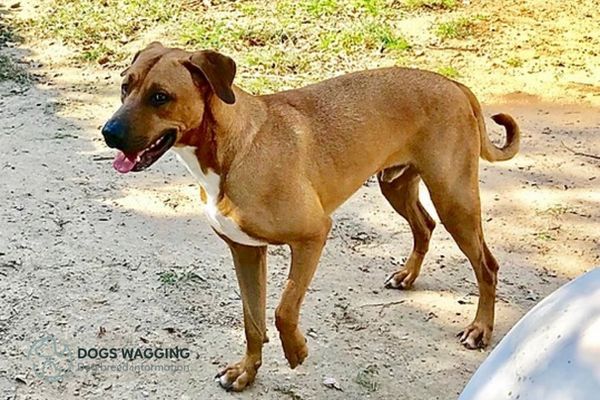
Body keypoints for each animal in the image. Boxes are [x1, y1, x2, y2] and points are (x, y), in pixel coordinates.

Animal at [101, 43, 516, 390]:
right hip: (396, 186)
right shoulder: (245, 251)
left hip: (454, 200)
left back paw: (480, 328)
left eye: (160, 97)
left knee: (487, 265)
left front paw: (296, 351)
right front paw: (246, 371)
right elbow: (253, 321)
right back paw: (408, 275)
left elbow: (283, 310)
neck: (233, 152)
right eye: (125, 86)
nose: (108, 133)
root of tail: (455, 84)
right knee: (424, 226)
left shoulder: (312, 236)